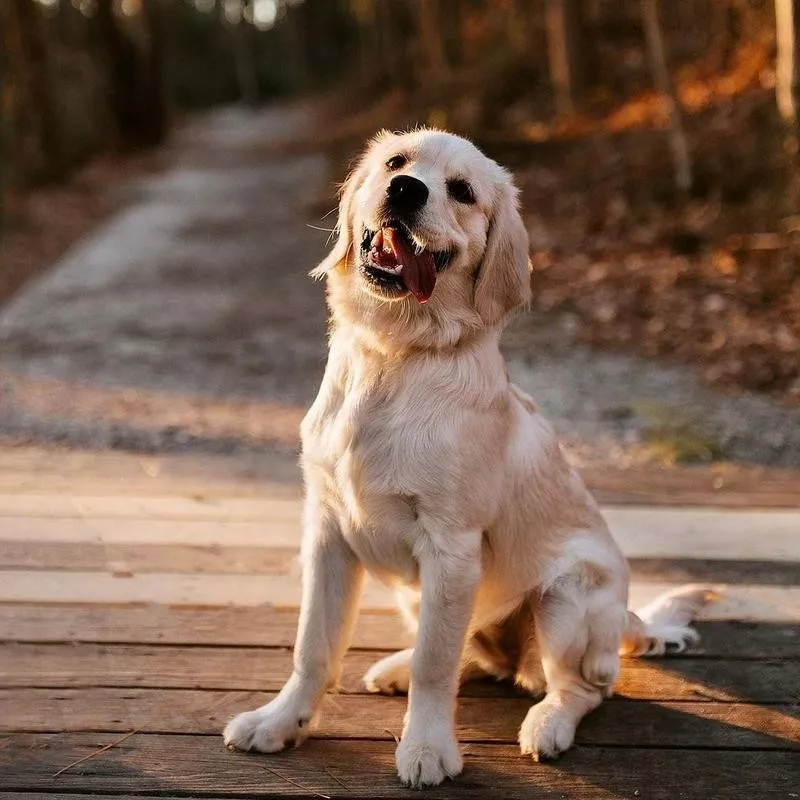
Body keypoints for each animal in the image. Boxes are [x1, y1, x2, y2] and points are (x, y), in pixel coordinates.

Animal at [222, 130, 708, 788]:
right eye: (396, 162)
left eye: (462, 192)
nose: (405, 190)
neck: (395, 356)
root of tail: (628, 617)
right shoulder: (327, 533)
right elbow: (314, 647)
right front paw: (280, 722)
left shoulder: (450, 547)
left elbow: (436, 664)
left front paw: (427, 749)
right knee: (475, 658)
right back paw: (395, 668)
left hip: (566, 595)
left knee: (577, 687)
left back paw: (546, 725)